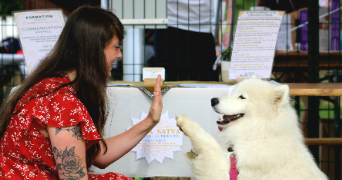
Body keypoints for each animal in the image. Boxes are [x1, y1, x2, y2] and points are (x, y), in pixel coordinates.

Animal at [176, 77, 328, 180]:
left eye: (242, 97)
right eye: (232, 93)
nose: (213, 100)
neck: (257, 135)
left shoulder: (223, 172)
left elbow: (209, 142)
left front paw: (185, 122)